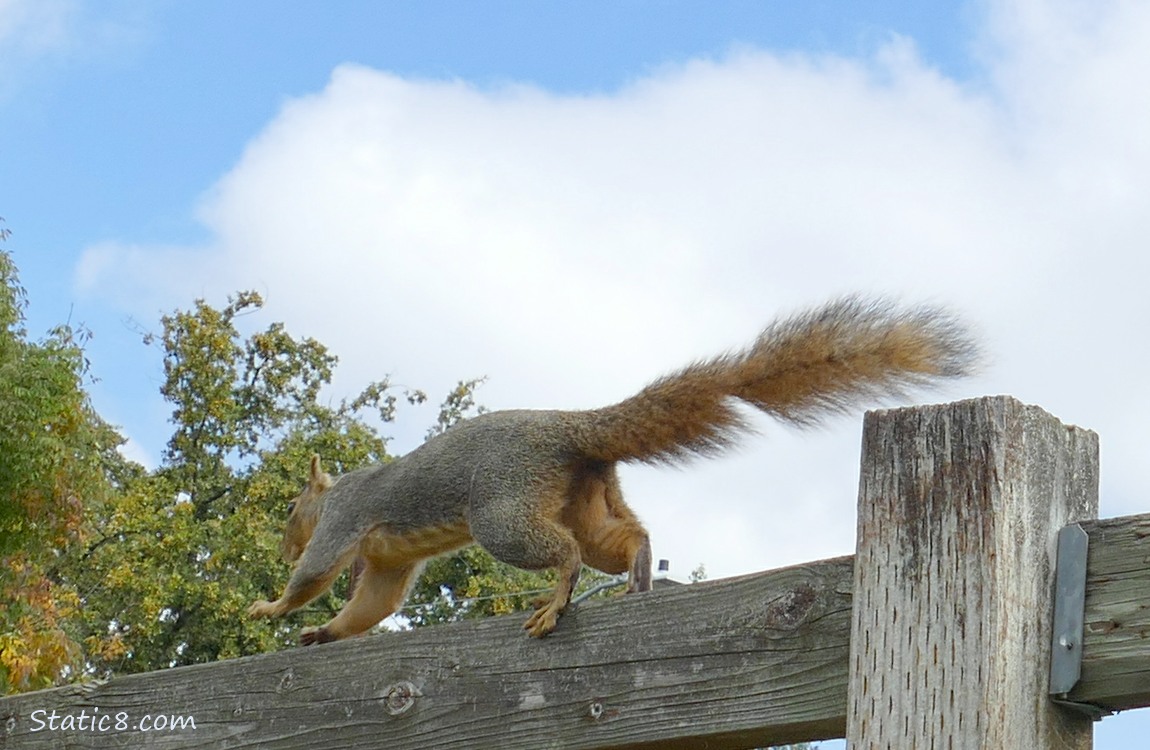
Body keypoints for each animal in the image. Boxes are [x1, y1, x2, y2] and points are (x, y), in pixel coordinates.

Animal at [248, 296, 979, 642]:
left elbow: (317, 574)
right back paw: (636, 577)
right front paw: (320, 631)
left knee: (568, 553)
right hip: (587, 496)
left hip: (503, 511)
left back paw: (556, 600)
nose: (278, 542)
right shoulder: (385, 560)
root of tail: (569, 431)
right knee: (622, 537)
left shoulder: (343, 521)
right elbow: (371, 605)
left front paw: (272, 604)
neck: (336, 493)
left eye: (291, 510)